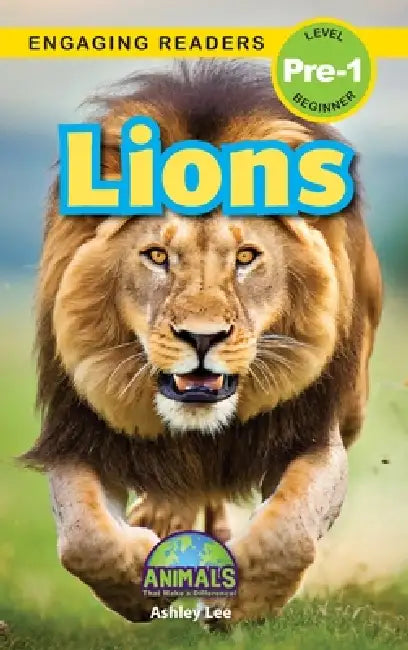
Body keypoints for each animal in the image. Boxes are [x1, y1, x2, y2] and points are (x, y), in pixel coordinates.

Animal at [23, 60, 382, 626]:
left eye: (246, 257)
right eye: (156, 256)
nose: (201, 337)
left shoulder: (313, 434)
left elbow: (287, 531)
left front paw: (237, 604)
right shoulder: (77, 432)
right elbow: (85, 542)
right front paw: (144, 583)